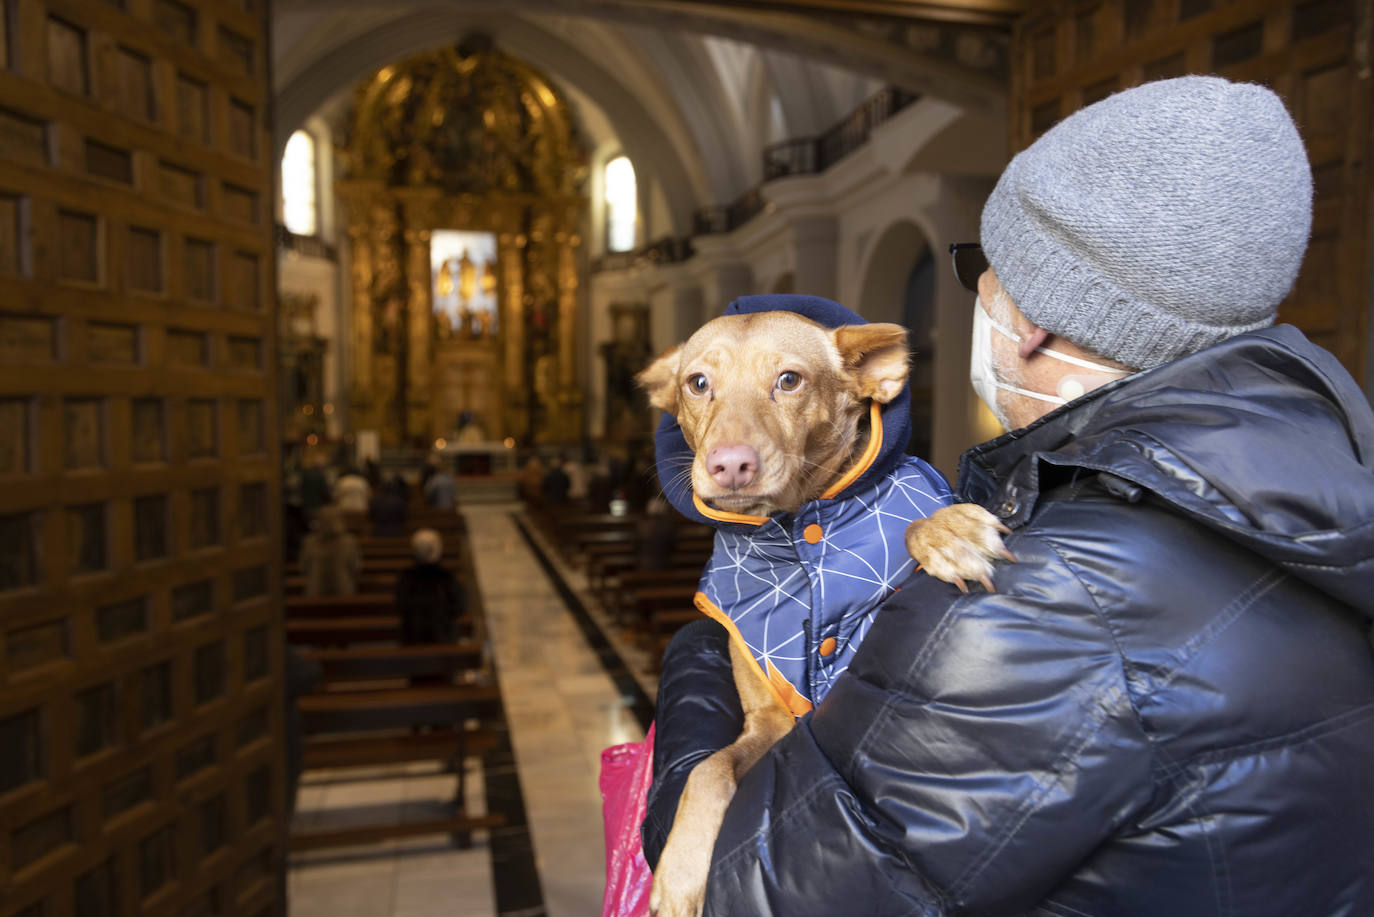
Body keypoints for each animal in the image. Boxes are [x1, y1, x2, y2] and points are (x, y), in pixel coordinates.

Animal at [634, 305, 1011, 917]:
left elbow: (918, 522)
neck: (794, 532)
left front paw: (945, 529)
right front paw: (680, 873)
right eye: (698, 383)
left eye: (790, 380)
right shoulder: (769, 720)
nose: (729, 465)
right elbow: (709, 769)